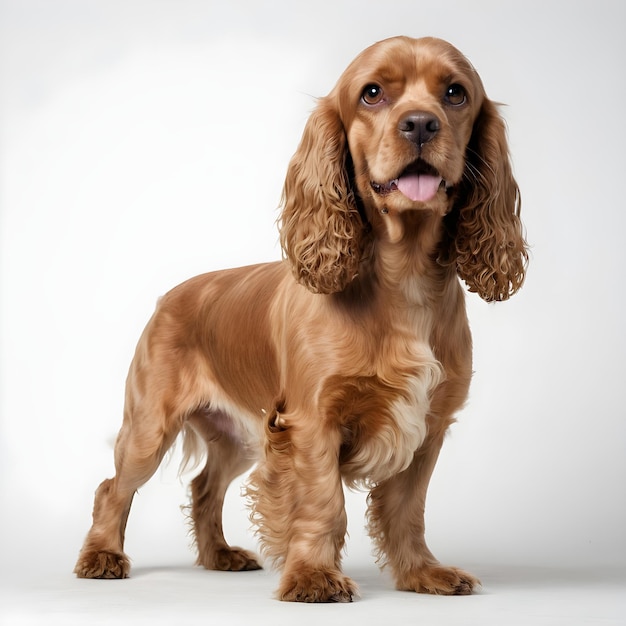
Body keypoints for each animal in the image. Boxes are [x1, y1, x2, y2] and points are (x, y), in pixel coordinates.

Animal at [77, 35, 528, 600]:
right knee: (112, 487)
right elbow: (323, 503)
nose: (421, 124)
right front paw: (313, 576)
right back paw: (101, 556)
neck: (404, 277)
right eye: (372, 93)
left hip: (234, 435)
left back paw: (219, 555)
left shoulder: (429, 423)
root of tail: (170, 296)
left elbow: (408, 509)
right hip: (149, 428)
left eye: (455, 93)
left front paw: (422, 573)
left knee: (205, 486)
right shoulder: (312, 421)